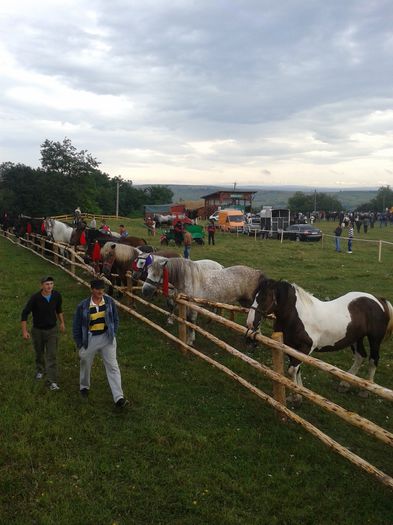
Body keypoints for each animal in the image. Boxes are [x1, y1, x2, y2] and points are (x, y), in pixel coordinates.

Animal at [245, 278, 392, 402]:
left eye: (263, 298)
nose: (250, 323)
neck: (296, 316)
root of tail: (379, 300)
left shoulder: (305, 347)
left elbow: (292, 370)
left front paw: (296, 396)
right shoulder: (290, 346)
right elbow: (297, 370)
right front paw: (299, 393)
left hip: (374, 339)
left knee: (373, 360)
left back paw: (365, 390)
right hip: (356, 338)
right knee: (360, 357)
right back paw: (344, 384)